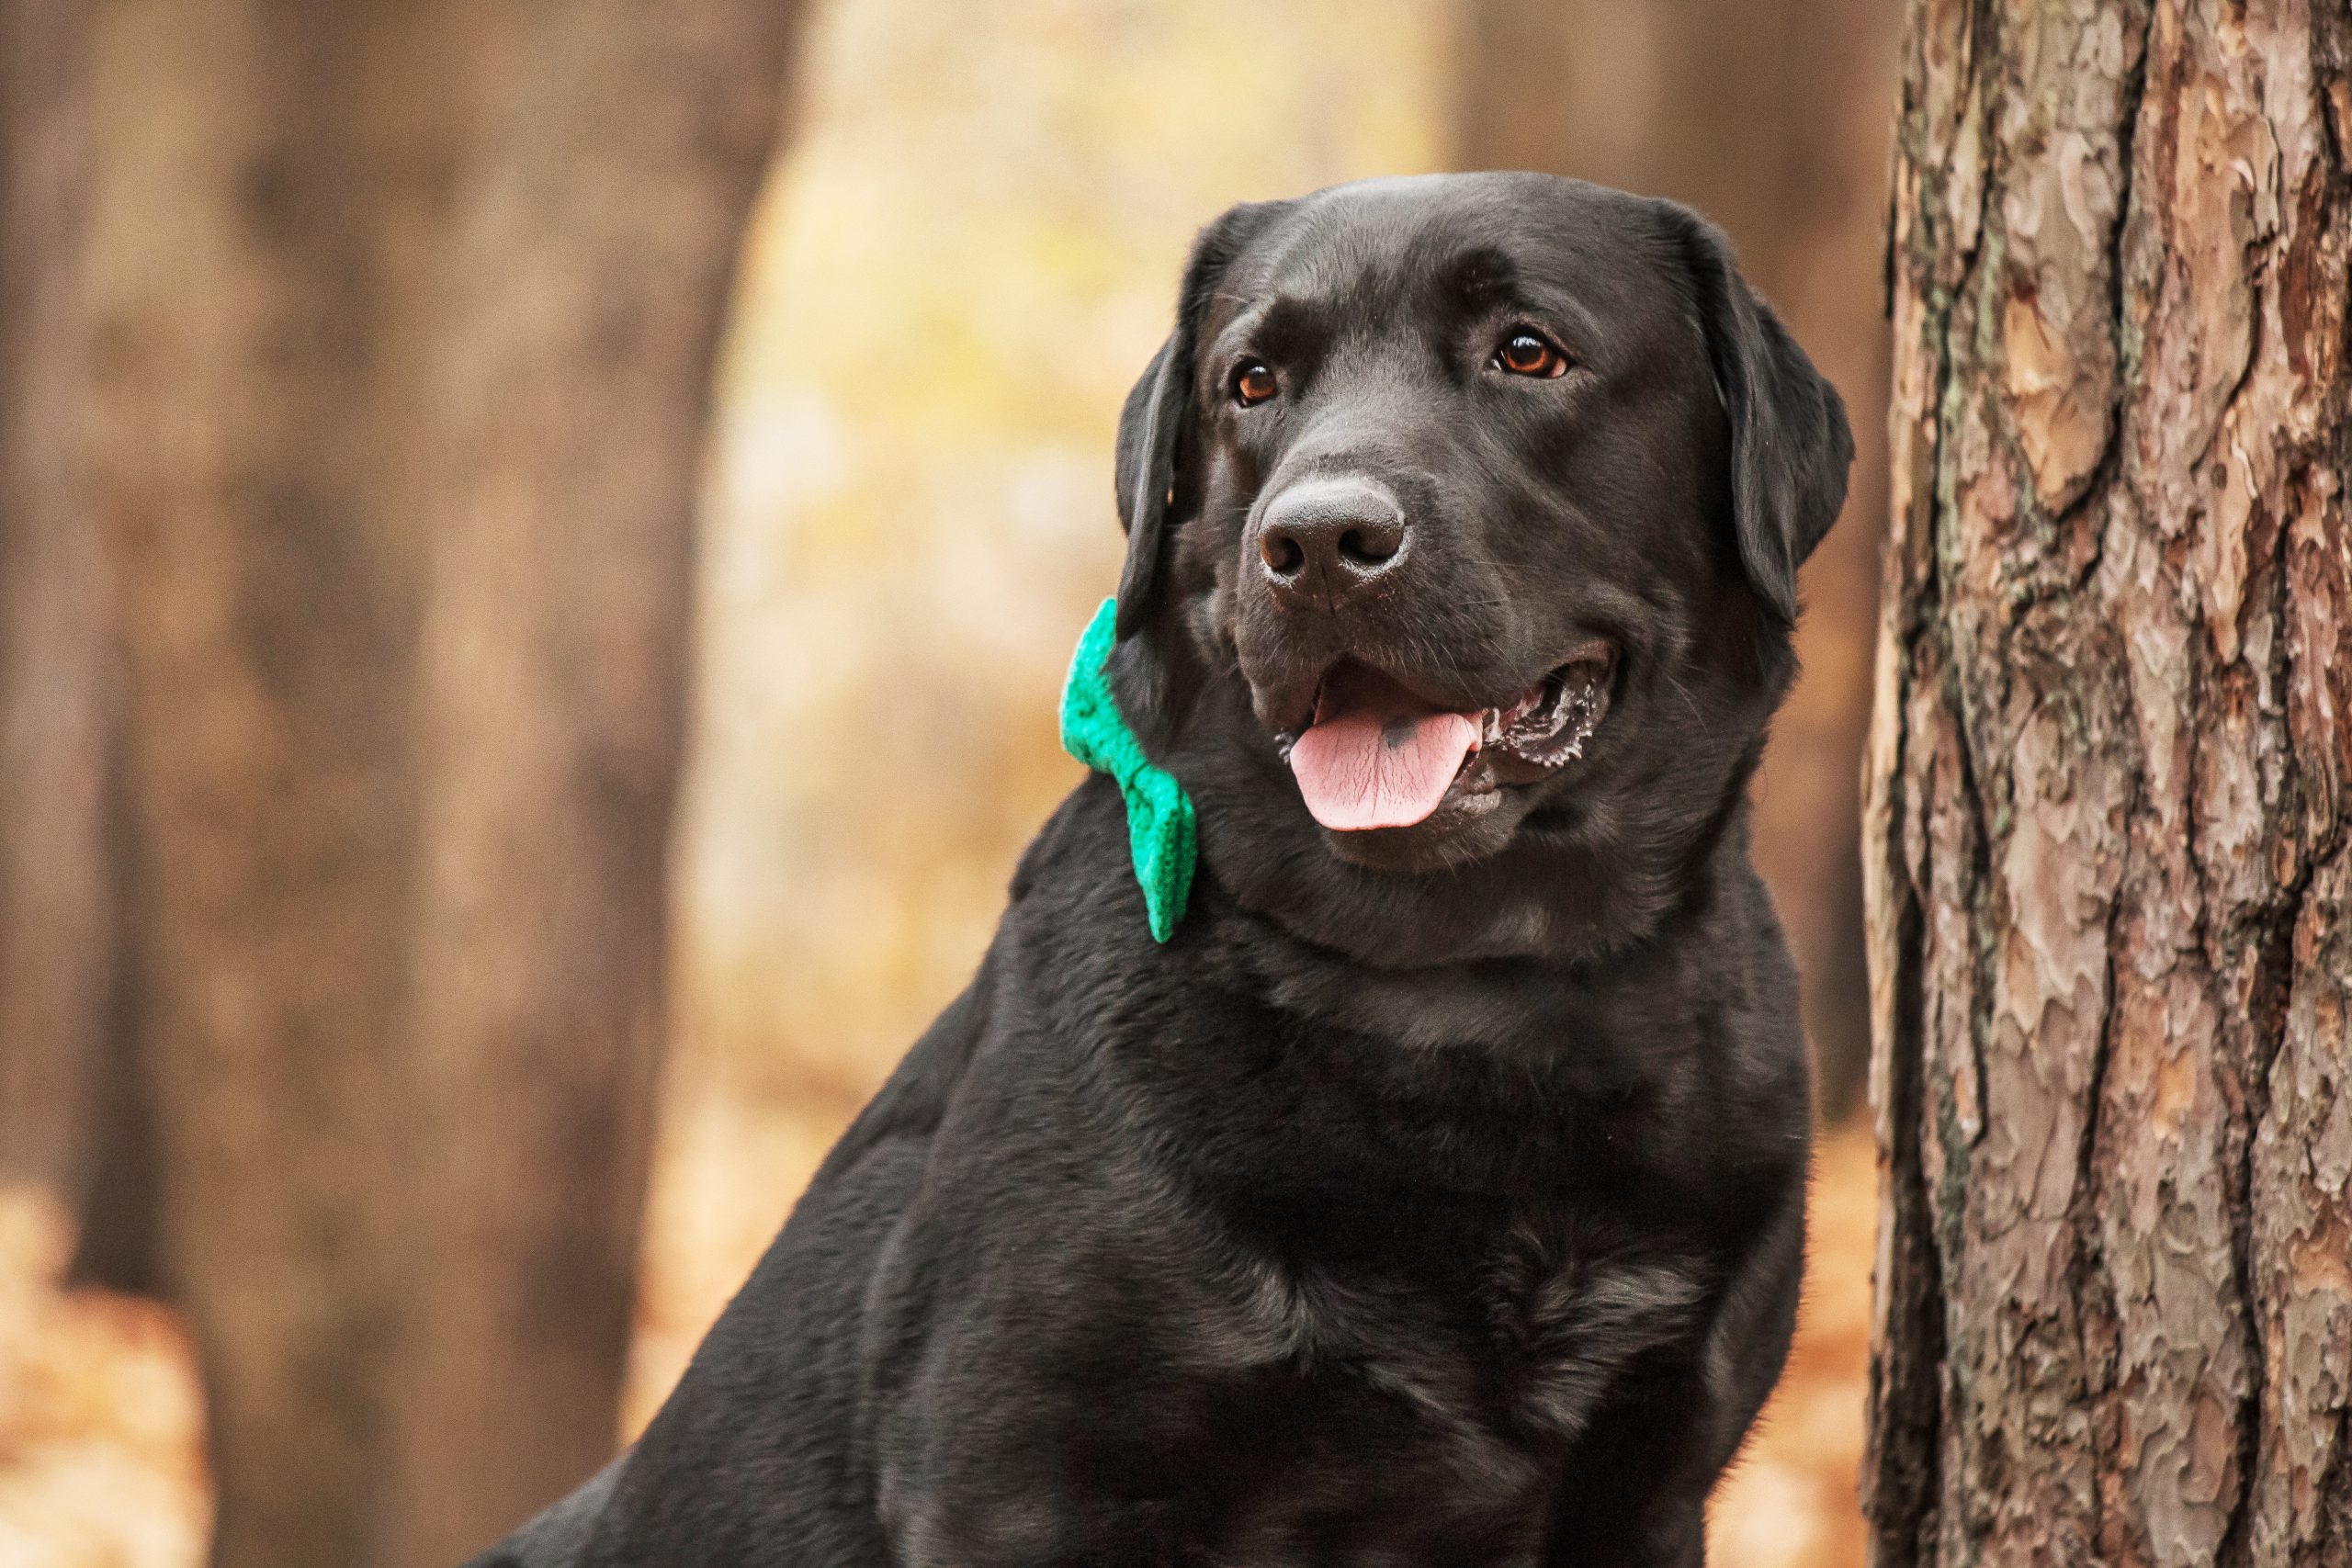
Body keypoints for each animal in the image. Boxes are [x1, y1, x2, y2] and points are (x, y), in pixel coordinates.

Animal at [468, 171, 1844, 1568]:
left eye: (1529, 352)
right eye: (1253, 382)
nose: (1320, 540)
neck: (1464, 998)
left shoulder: (1653, 1482)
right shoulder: (1015, 1479)